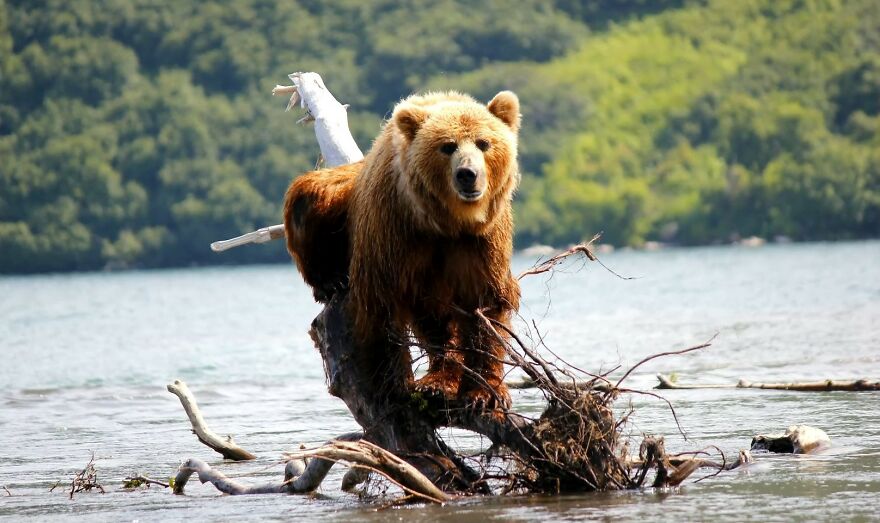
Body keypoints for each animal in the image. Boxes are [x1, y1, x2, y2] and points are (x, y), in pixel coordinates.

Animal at [283, 90, 522, 409]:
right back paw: (331, 280)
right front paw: (398, 384)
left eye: (484, 142)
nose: (467, 174)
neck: (446, 222)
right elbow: (388, 306)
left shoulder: (482, 241)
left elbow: (486, 306)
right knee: (307, 198)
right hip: (338, 200)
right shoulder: (395, 233)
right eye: (448, 146)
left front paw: (483, 392)